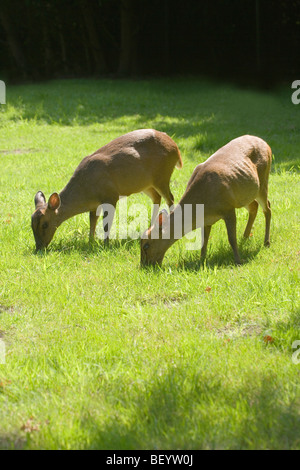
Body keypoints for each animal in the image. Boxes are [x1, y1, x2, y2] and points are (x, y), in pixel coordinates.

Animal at [32, 129, 183, 252]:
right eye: (31, 225)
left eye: (45, 224)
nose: (39, 247)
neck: (86, 189)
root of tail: (175, 147)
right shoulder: (94, 205)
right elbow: (92, 222)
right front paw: (90, 242)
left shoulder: (110, 196)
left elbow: (106, 224)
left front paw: (105, 245)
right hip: (145, 184)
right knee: (157, 197)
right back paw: (151, 226)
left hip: (162, 175)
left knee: (170, 198)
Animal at [141, 136, 272, 268]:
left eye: (146, 245)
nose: (144, 267)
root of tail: (266, 144)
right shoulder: (207, 220)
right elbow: (204, 242)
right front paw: (201, 260)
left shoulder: (228, 207)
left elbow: (231, 239)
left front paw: (238, 261)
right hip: (245, 194)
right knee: (254, 205)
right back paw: (245, 237)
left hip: (263, 181)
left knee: (268, 208)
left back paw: (266, 242)